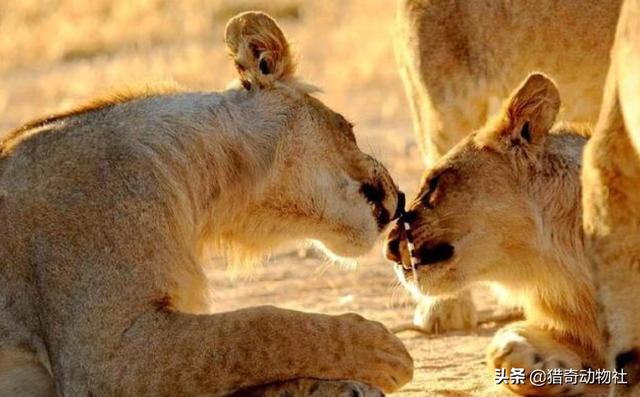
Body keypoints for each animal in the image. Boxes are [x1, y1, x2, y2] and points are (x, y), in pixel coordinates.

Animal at [0, 11, 416, 396]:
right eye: (349, 127)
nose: (400, 199)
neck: (201, 195)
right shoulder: (102, 360)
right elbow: (254, 330)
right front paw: (382, 350)